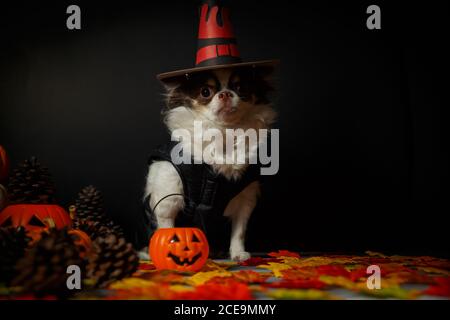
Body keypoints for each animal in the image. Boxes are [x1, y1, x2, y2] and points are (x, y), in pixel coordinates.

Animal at [144, 66, 278, 262]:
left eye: (240, 88)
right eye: (205, 92)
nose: (225, 94)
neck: (225, 134)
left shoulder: (245, 198)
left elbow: (239, 230)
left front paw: (238, 253)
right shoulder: (168, 199)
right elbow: (167, 229)